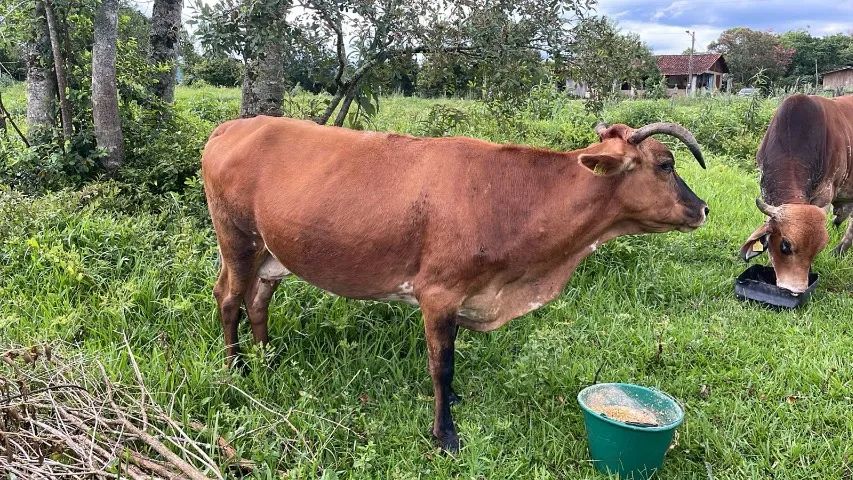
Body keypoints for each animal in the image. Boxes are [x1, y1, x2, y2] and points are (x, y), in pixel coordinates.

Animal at [201, 117, 708, 452]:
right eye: (666, 164)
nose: (703, 208)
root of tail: (232, 126)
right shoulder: (439, 293)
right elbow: (440, 365)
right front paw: (445, 433)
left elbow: (452, 359)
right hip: (237, 239)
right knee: (228, 297)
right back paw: (235, 369)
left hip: (273, 252)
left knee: (258, 300)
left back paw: (267, 360)